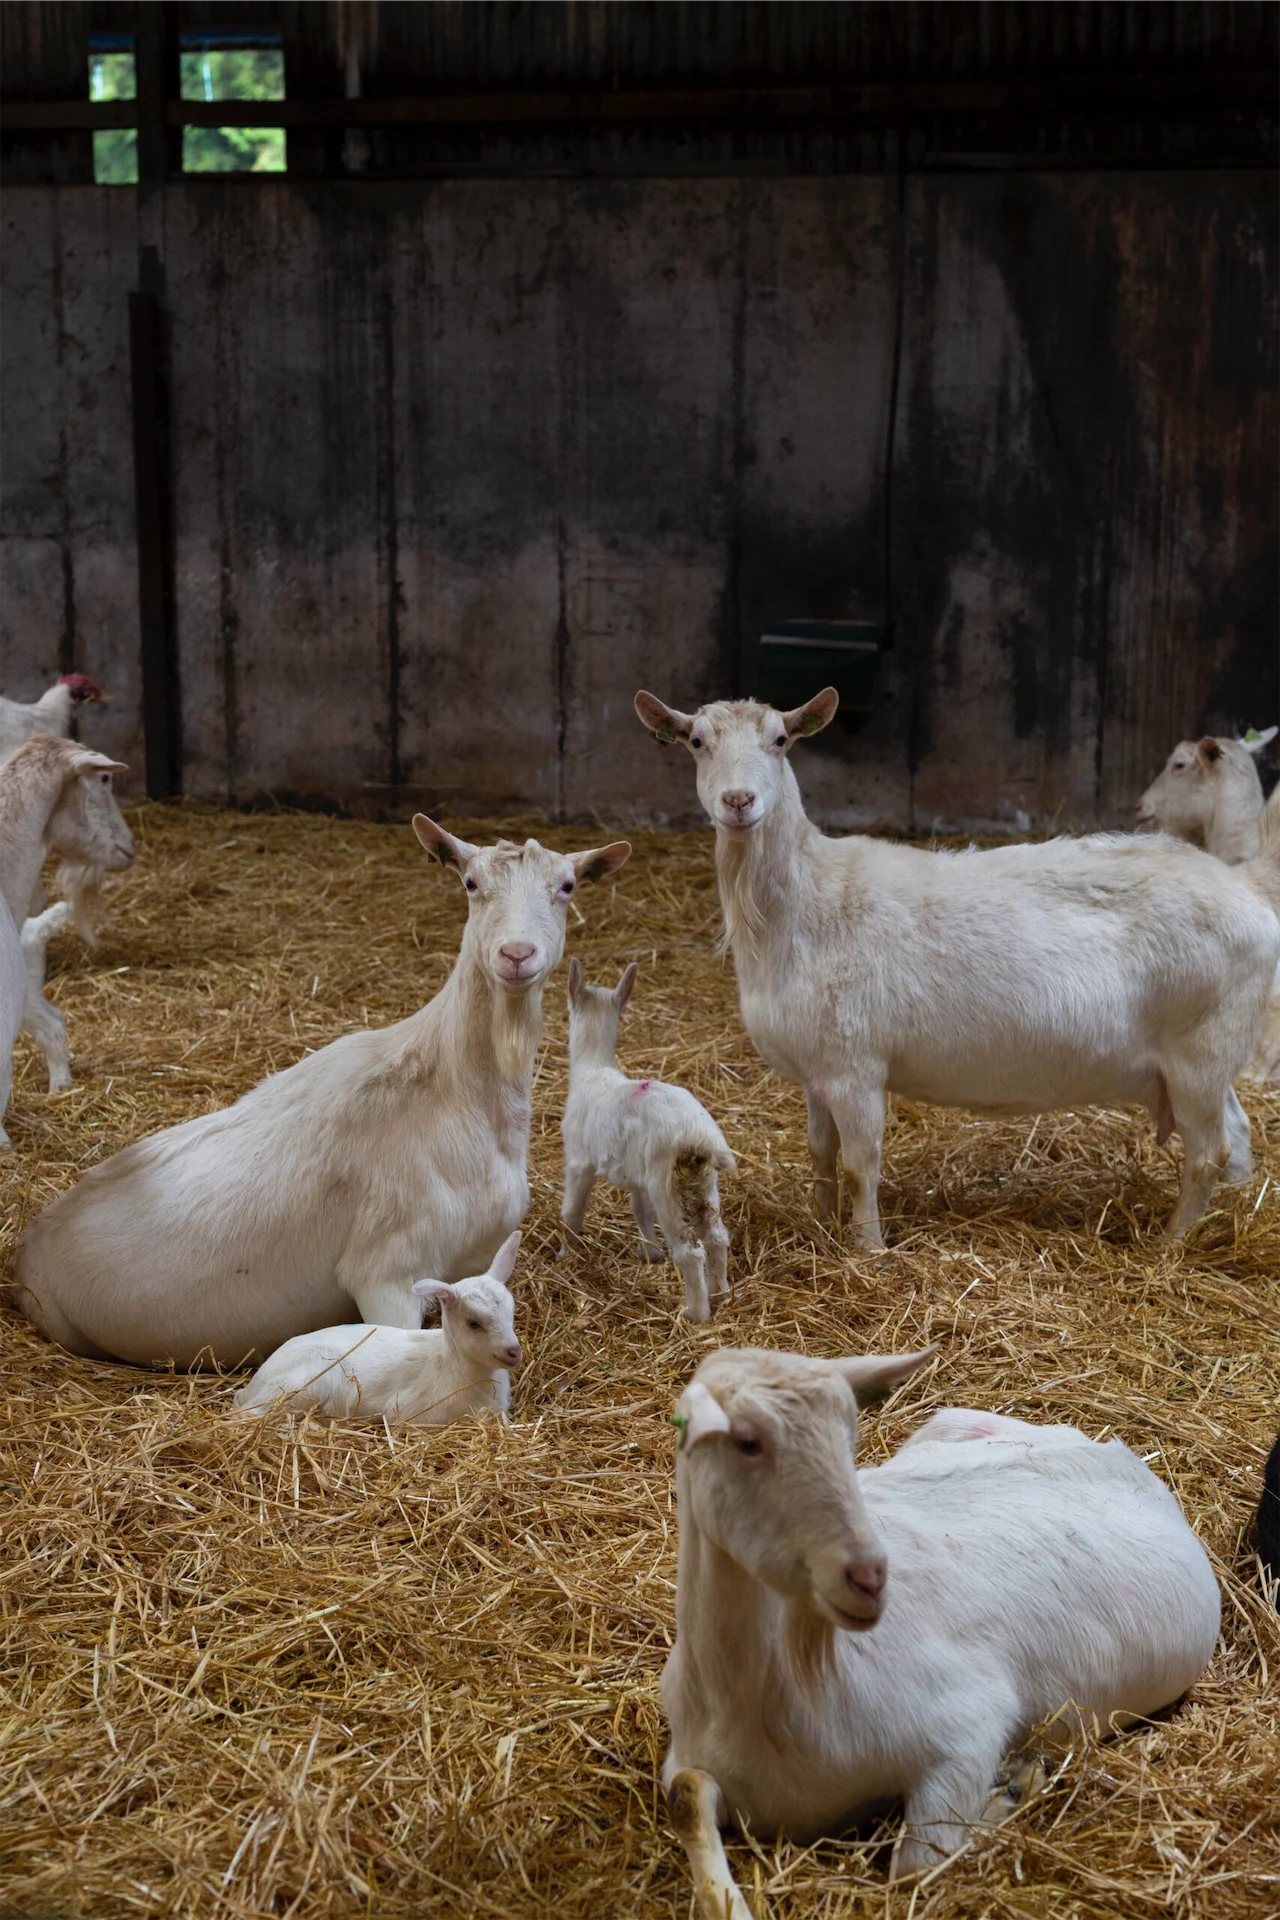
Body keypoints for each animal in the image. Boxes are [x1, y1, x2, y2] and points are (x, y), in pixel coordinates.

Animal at [14, 819, 629, 1366]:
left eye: (567, 887)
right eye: (471, 883)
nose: (517, 954)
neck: (453, 1091)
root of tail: (26, 1246)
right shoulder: (386, 1270)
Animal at [233, 1230, 524, 1423]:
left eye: (511, 1312)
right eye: (473, 1322)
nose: (514, 1351)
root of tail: (255, 1383)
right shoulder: (408, 1414)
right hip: (303, 1382)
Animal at [561, 958, 735, 1320]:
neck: (593, 1069)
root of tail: (701, 1137)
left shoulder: (579, 1160)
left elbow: (572, 1210)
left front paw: (564, 1254)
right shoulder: (636, 1173)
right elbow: (639, 1209)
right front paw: (649, 1254)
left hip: (666, 1182)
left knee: (690, 1252)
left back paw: (696, 1313)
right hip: (703, 1182)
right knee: (717, 1238)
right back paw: (722, 1294)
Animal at [635, 687, 1280, 1244]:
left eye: (780, 740)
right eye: (696, 742)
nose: (738, 801)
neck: (806, 902)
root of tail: (1246, 891)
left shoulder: (856, 1065)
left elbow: (860, 1165)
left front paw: (868, 1249)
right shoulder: (817, 1069)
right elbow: (820, 1153)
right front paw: (821, 1224)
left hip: (1202, 1045)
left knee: (1209, 1153)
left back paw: (1171, 1244)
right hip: (1201, 1060)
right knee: (1236, 1135)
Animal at [663, 1346, 1220, 1912]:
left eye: (850, 1434)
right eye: (747, 1441)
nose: (869, 1576)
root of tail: (1119, 1454)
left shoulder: (966, 1727)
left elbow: (917, 1863)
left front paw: (1017, 1786)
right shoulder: (689, 1760)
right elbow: (685, 1795)